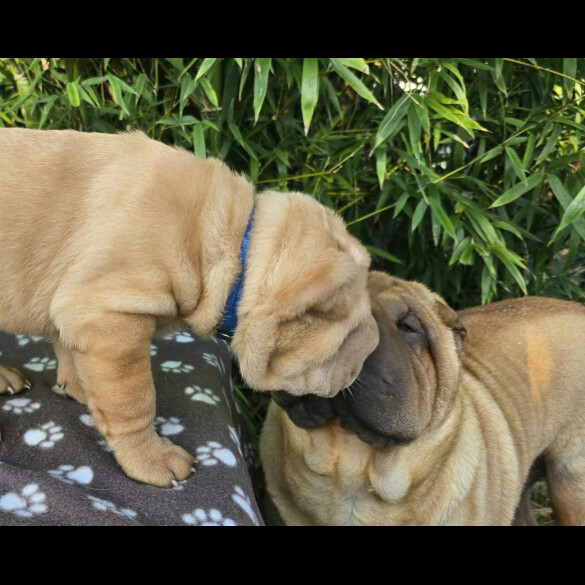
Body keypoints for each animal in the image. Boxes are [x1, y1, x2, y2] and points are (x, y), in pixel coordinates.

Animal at [0, 129, 378, 488]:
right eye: (348, 337)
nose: (371, 355)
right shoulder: (110, 318)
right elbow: (134, 404)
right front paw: (151, 461)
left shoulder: (77, 311)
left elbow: (71, 352)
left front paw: (79, 388)